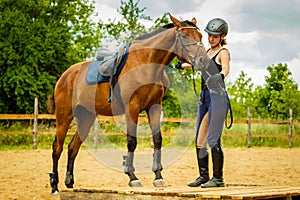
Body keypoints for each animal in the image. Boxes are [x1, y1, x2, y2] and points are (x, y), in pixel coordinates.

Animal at [48, 13, 210, 195]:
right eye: (184, 36)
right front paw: (133, 178)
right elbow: (132, 142)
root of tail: (65, 76)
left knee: (72, 147)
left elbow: (157, 139)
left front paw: (158, 176)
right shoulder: (132, 108)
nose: (203, 60)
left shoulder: (154, 107)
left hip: (86, 117)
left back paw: (69, 181)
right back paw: (54, 187)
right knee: (57, 148)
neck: (147, 62)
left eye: (200, 36)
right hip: (64, 116)